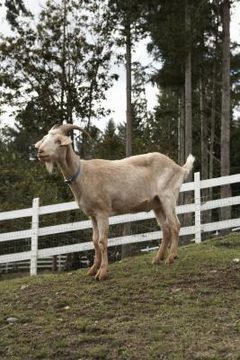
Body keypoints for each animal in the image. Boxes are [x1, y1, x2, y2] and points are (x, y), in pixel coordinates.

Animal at [34, 124, 195, 282]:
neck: (82, 174)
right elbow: (94, 241)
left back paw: (171, 257)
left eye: (58, 141)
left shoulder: (102, 211)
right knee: (165, 228)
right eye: (45, 138)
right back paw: (157, 259)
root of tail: (179, 168)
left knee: (175, 225)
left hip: (168, 197)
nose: (40, 152)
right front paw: (92, 270)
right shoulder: (92, 215)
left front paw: (103, 273)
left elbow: (102, 241)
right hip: (157, 204)